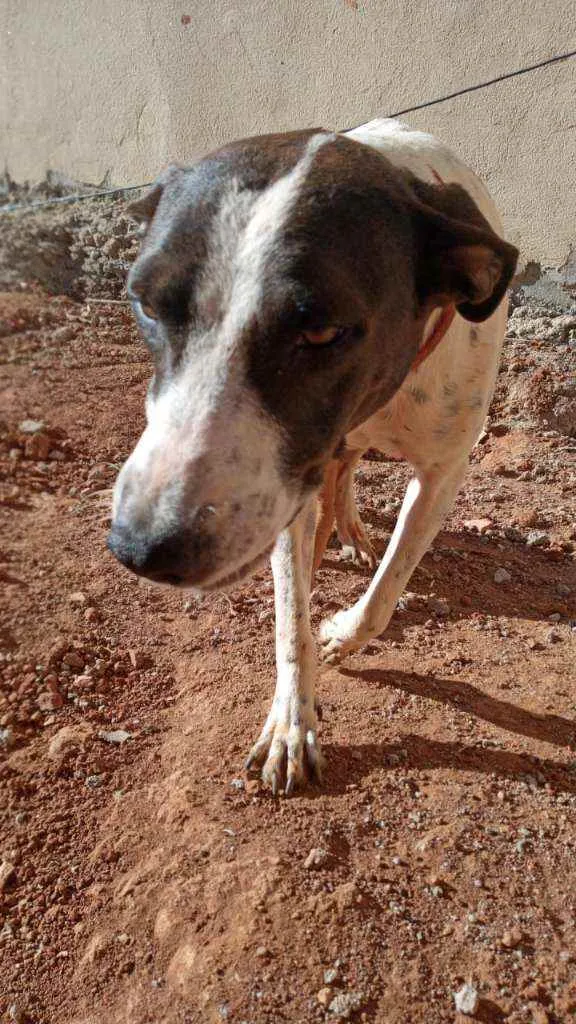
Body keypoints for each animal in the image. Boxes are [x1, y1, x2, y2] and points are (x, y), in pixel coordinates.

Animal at [108, 118, 518, 795]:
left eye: (321, 331)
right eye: (145, 304)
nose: (141, 549)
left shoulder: (444, 473)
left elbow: (385, 592)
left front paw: (344, 633)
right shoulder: (288, 494)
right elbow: (289, 621)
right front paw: (291, 725)